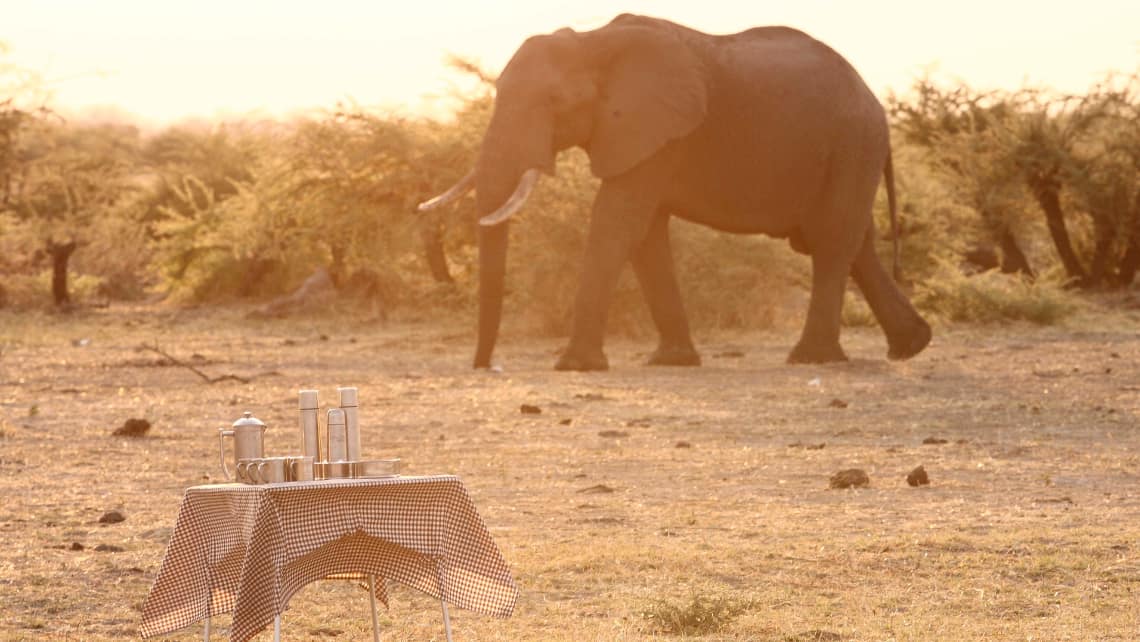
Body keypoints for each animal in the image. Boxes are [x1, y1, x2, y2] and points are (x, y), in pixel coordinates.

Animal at [424, 12, 930, 369]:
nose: (486, 366)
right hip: (847, 151)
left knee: (830, 239)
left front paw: (574, 366)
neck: (593, 42)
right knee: (853, 241)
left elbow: (616, 221)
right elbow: (645, 233)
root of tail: (873, 98)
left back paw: (812, 358)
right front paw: (671, 361)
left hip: (852, 143)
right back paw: (910, 346)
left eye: (554, 102)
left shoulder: (660, 133)